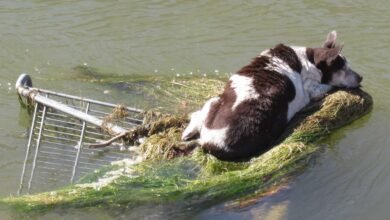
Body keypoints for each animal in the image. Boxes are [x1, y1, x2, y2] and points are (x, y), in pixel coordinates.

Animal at [182, 31, 362, 161]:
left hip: (215, 100)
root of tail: (210, 143)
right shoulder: (313, 89)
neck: (309, 61)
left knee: (198, 114)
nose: (361, 78)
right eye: (343, 67)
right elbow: (329, 86)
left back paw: (187, 133)